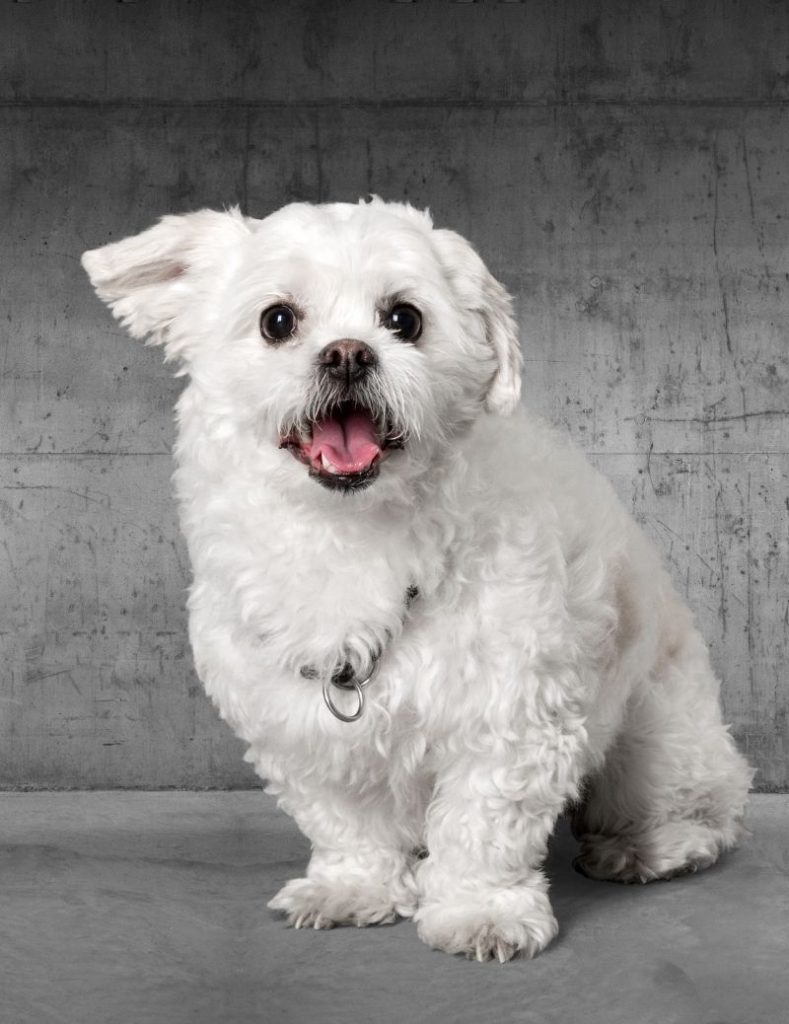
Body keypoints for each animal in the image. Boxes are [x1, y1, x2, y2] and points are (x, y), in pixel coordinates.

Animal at [83, 197, 757, 958]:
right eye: (277, 320)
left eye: (404, 319)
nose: (348, 353)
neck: (348, 537)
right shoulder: (300, 725)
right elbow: (347, 819)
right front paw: (356, 887)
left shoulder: (510, 715)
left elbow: (482, 824)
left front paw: (479, 910)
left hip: (658, 742)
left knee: (705, 806)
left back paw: (647, 845)